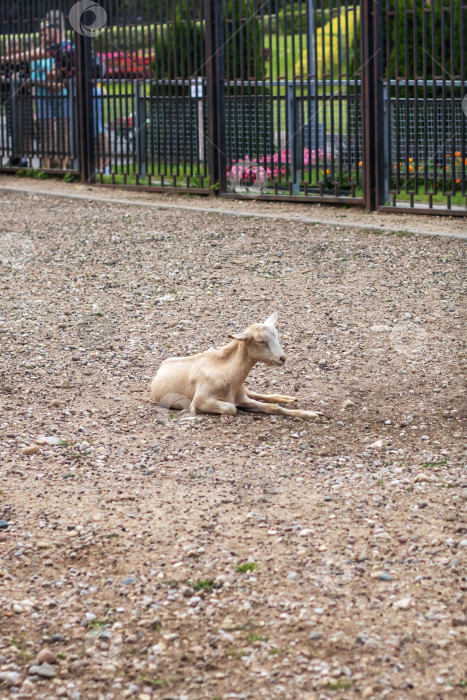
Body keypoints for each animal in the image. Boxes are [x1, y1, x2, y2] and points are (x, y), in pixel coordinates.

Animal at [152, 314, 328, 422]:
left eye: (277, 336)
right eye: (261, 341)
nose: (282, 358)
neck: (228, 373)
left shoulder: (242, 398)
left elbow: (271, 407)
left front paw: (312, 414)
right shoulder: (200, 400)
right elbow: (231, 408)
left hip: (245, 391)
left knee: (259, 394)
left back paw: (287, 398)